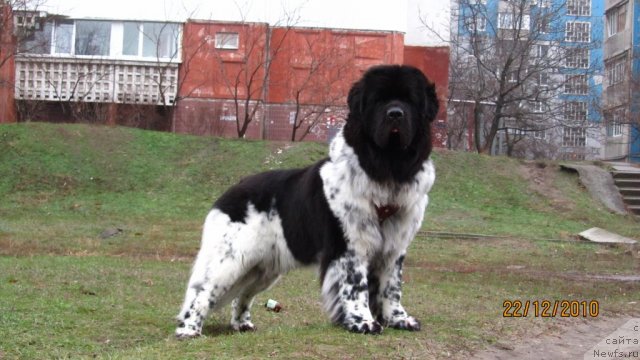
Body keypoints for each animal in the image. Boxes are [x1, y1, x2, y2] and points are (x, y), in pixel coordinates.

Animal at [179, 65, 440, 338]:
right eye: (379, 100)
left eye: (409, 100)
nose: (395, 114)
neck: (387, 169)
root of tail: (230, 192)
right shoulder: (349, 246)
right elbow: (356, 286)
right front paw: (363, 322)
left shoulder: (394, 248)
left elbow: (392, 286)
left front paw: (399, 318)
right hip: (231, 257)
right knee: (202, 291)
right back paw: (189, 329)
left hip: (263, 269)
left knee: (243, 295)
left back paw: (242, 324)